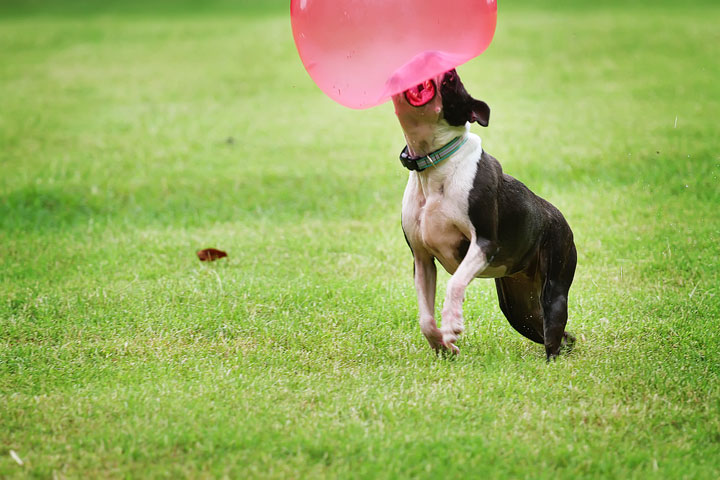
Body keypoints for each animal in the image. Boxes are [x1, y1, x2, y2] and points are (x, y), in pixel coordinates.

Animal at [390, 68, 576, 360]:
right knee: (556, 332)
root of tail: (559, 217)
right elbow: (425, 319)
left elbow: (455, 283)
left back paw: (552, 362)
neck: (434, 162)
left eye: (451, 79)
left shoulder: (484, 244)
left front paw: (452, 325)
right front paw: (443, 345)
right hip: (519, 310)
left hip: (554, 284)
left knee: (553, 330)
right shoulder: (422, 260)